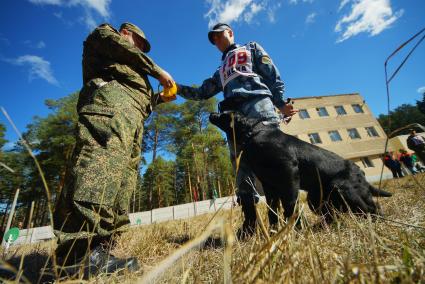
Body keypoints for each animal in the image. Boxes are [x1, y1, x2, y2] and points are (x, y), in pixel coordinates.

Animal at [209, 111, 390, 231]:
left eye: (224, 112)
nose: (212, 112)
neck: (255, 134)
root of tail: (362, 174)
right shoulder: (269, 185)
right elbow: (272, 211)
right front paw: (274, 233)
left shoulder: (288, 172)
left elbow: (290, 205)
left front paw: (294, 229)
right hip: (316, 199)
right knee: (335, 214)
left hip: (344, 190)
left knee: (371, 209)